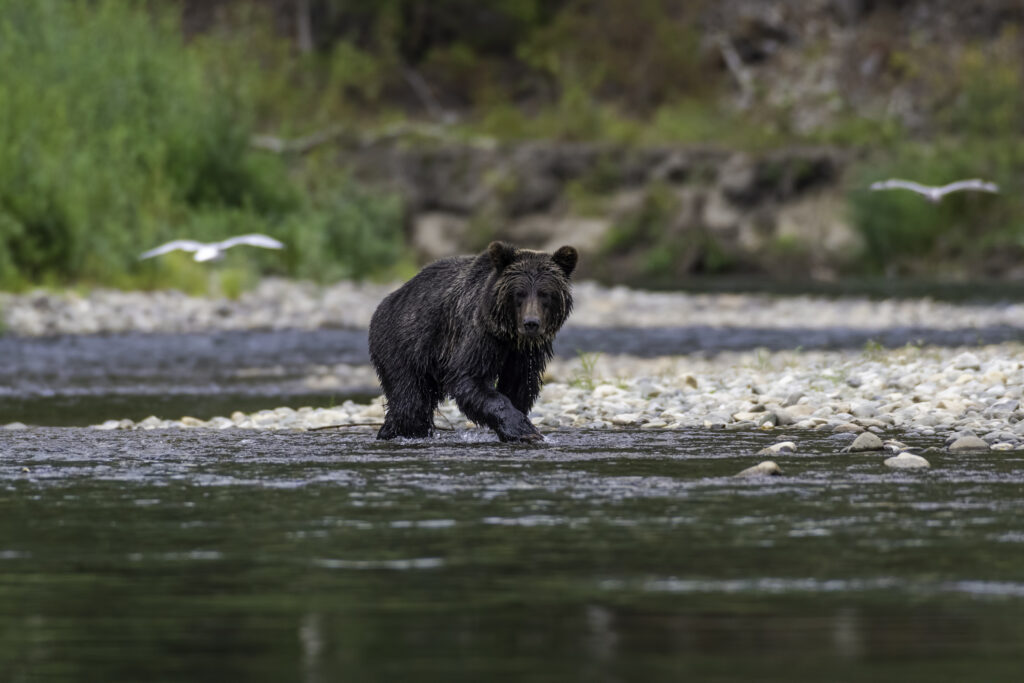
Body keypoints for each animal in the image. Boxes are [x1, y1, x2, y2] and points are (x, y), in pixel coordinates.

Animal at [368, 240, 577, 444]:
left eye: (545, 293)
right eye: (519, 293)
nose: (531, 323)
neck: (509, 336)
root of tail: (388, 300)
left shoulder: (526, 353)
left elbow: (519, 385)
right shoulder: (478, 334)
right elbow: (469, 377)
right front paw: (524, 430)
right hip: (404, 344)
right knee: (410, 403)